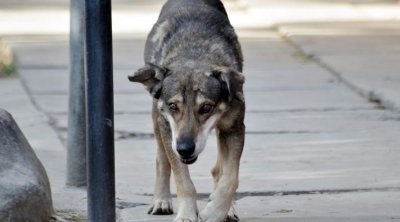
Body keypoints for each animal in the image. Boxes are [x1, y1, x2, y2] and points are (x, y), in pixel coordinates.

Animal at [128, 0, 245, 221]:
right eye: (173, 106)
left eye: (206, 107)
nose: (184, 148)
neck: (194, 55)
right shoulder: (169, 131)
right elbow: (183, 180)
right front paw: (186, 215)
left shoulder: (234, 129)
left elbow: (230, 178)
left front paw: (215, 212)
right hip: (158, 122)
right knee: (161, 159)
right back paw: (161, 200)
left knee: (218, 169)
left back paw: (228, 209)